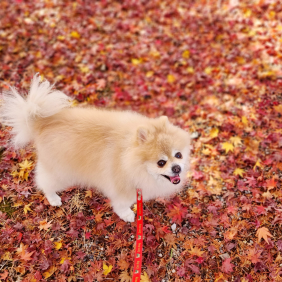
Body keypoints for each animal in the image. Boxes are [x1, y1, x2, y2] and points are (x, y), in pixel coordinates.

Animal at [1, 74, 191, 223]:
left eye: (178, 155)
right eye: (161, 162)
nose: (176, 168)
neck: (130, 158)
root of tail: (42, 122)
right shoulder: (122, 189)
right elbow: (121, 205)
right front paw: (128, 215)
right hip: (61, 172)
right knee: (44, 183)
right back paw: (53, 198)